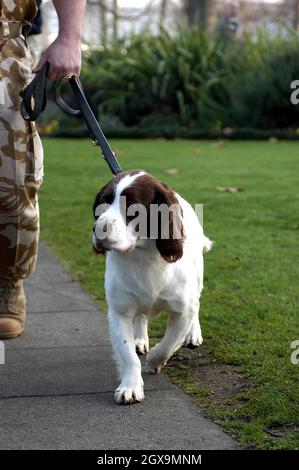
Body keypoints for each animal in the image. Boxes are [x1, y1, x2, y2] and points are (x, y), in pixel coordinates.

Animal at [92, 171, 212, 406]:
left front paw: (155, 361)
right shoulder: (119, 312)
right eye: (103, 203)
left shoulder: (182, 311)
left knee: (197, 304)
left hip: (197, 279)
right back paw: (140, 339)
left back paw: (193, 334)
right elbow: (128, 354)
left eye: (133, 207)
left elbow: (169, 344)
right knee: (142, 316)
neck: (143, 255)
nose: (98, 228)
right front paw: (130, 386)